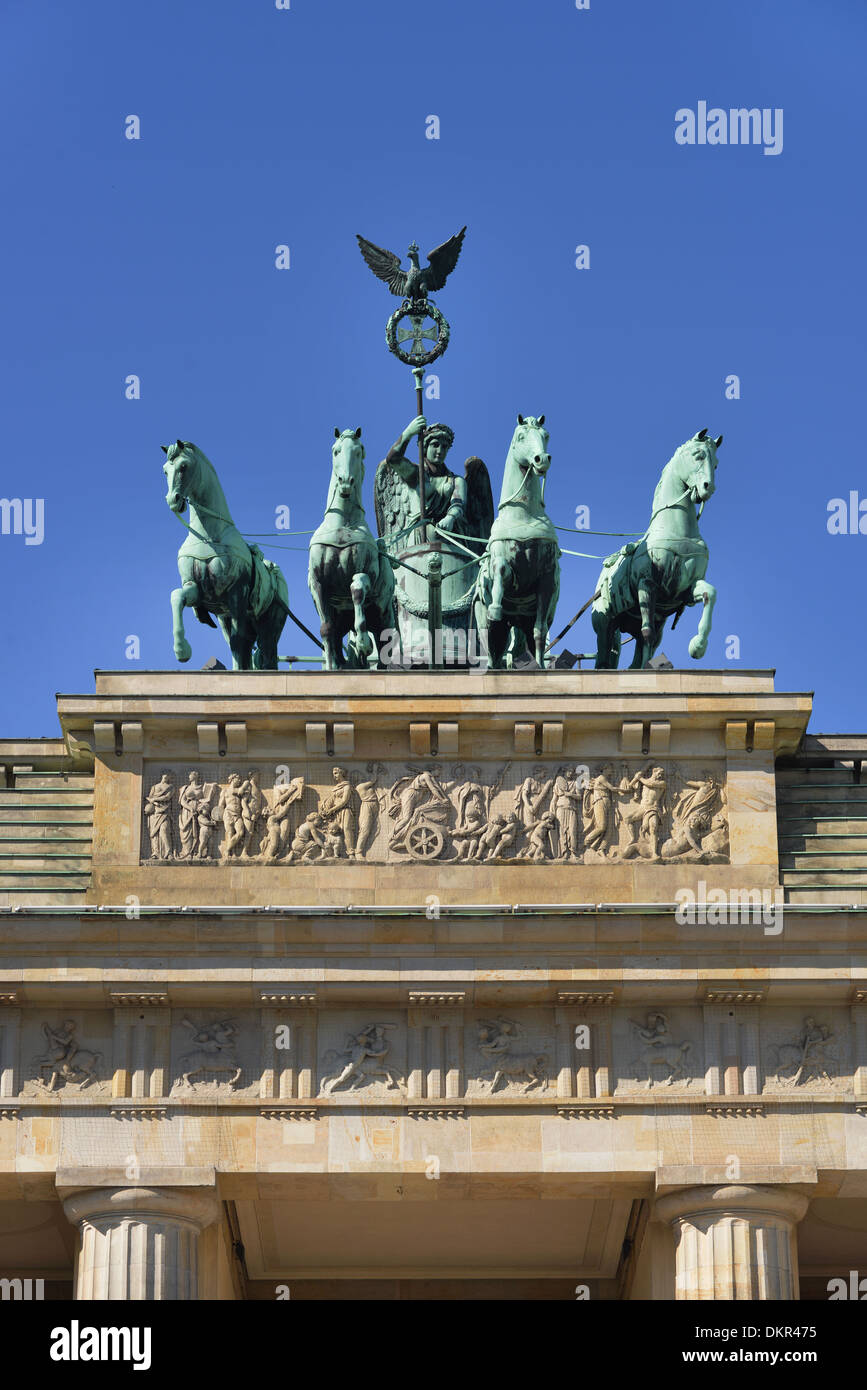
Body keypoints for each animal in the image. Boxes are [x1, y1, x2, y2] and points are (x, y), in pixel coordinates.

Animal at [163, 439, 293, 667]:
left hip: (270, 624)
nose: (173, 500)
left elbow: (239, 642)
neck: (207, 535)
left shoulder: (236, 596)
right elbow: (177, 596)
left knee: (265, 651)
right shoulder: (196, 589)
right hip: (227, 618)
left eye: (183, 466)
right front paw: (181, 649)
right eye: (164, 470)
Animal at [307, 428, 397, 672]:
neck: (343, 524)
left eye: (359, 451)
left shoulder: (366, 573)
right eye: (336, 450)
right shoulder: (318, 584)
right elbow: (326, 630)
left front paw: (364, 642)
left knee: (386, 644)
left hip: (383, 614)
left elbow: (356, 588)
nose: (345, 482)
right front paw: (331, 668)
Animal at [475, 411, 561, 667]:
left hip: (520, 622)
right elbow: (501, 573)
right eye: (521, 436)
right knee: (491, 648)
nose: (541, 459)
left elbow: (540, 632)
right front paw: (495, 606)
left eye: (546, 435)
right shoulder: (501, 562)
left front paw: (541, 667)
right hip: (486, 625)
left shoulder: (547, 580)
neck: (524, 514)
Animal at [589, 428, 722, 667]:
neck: (676, 529)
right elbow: (647, 633)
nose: (708, 488)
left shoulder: (685, 590)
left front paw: (698, 646)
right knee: (604, 658)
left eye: (715, 464)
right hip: (605, 624)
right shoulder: (647, 584)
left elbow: (711, 594)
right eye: (698, 455)